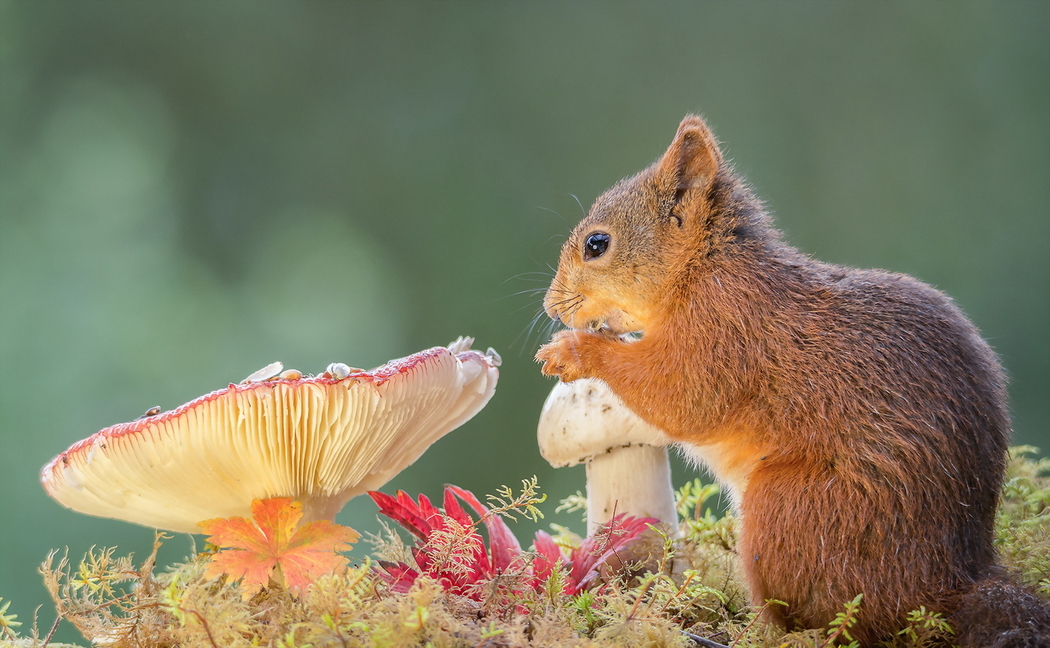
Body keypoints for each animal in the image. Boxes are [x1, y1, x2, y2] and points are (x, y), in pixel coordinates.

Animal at [537, 115, 1050, 642]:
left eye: (597, 244)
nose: (552, 306)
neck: (703, 271)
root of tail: (950, 582)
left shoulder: (726, 336)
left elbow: (681, 397)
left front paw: (574, 351)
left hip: (792, 510)